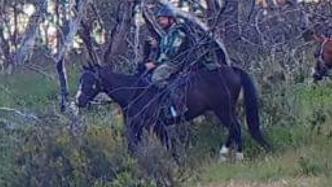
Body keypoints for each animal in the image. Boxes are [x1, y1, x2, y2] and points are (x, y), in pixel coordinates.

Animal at [74, 64, 270, 161]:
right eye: (81, 80)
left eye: (91, 81)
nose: (79, 100)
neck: (134, 93)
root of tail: (233, 70)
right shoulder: (139, 127)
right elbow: (135, 147)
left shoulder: (153, 126)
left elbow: (167, 147)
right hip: (224, 110)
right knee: (233, 129)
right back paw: (224, 154)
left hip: (223, 110)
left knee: (236, 128)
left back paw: (238, 156)